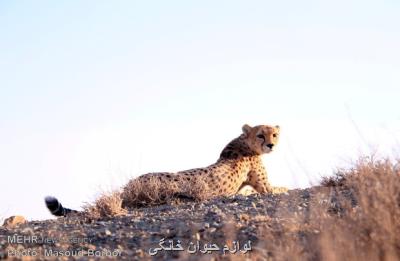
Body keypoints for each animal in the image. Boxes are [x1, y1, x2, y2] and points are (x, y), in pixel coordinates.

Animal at [45, 124, 286, 215]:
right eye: (261, 135)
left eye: (274, 134)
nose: (271, 145)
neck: (243, 142)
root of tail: (128, 186)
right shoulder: (265, 186)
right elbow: (279, 189)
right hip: (167, 182)